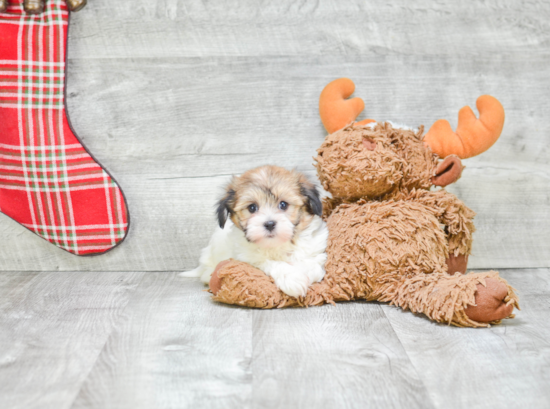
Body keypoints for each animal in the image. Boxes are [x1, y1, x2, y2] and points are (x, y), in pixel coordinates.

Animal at [182, 165, 328, 296]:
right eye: (252, 208)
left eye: (283, 204)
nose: (269, 224)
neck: (278, 245)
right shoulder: (247, 258)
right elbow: (271, 263)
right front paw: (292, 278)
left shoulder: (316, 250)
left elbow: (313, 264)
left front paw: (303, 270)